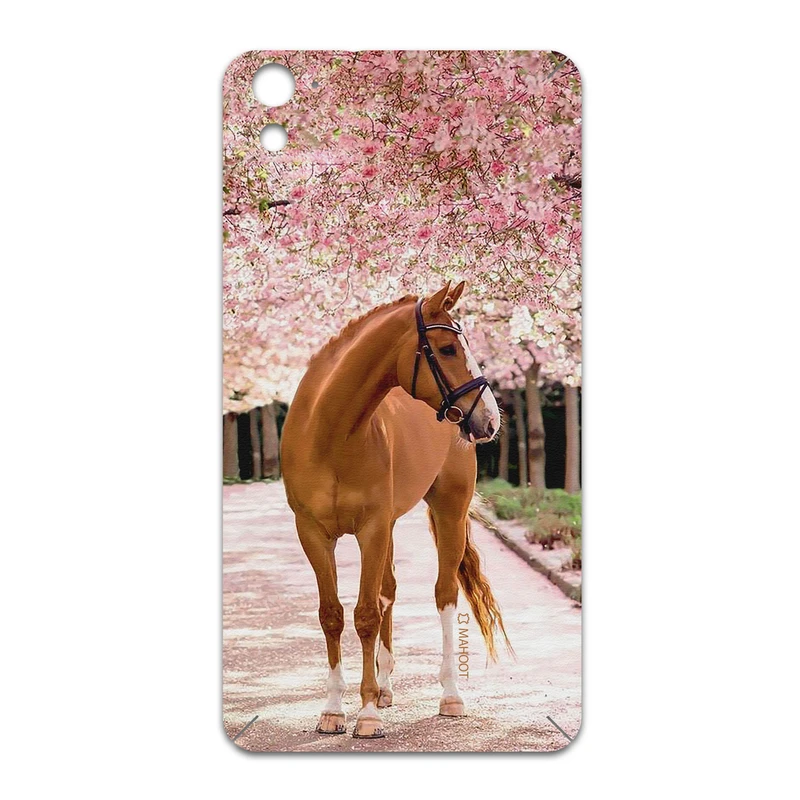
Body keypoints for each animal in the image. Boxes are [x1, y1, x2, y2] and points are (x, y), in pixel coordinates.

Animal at [280, 281, 510, 739]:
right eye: (447, 348)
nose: (490, 419)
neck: (330, 433)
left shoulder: (371, 528)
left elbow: (366, 614)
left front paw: (366, 714)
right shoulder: (313, 533)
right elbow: (332, 615)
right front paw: (333, 710)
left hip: (448, 511)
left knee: (443, 594)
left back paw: (450, 696)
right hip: (388, 526)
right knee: (388, 591)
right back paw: (385, 688)